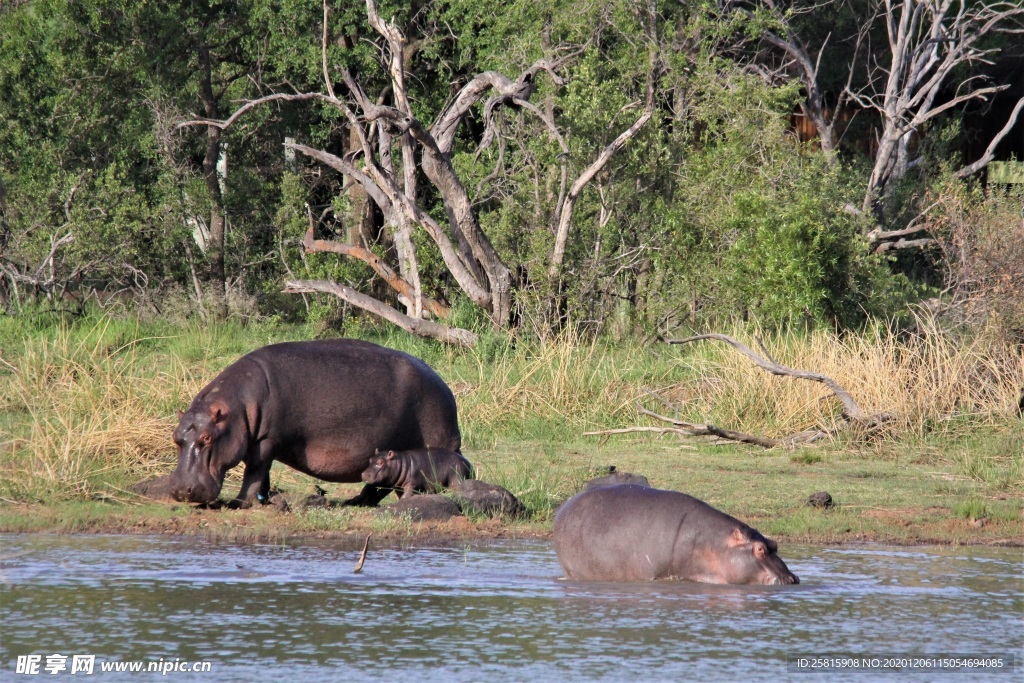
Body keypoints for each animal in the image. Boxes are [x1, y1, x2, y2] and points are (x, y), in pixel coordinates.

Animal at [169, 339, 462, 507]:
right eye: (176, 437)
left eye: (207, 438)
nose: (181, 490)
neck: (238, 407)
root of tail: (444, 385)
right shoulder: (261, 442)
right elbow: (263, 474)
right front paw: (265, 499)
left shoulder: (265, 440)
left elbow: (254, 471)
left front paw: (240, 502)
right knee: (378, 485)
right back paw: (353, 502)